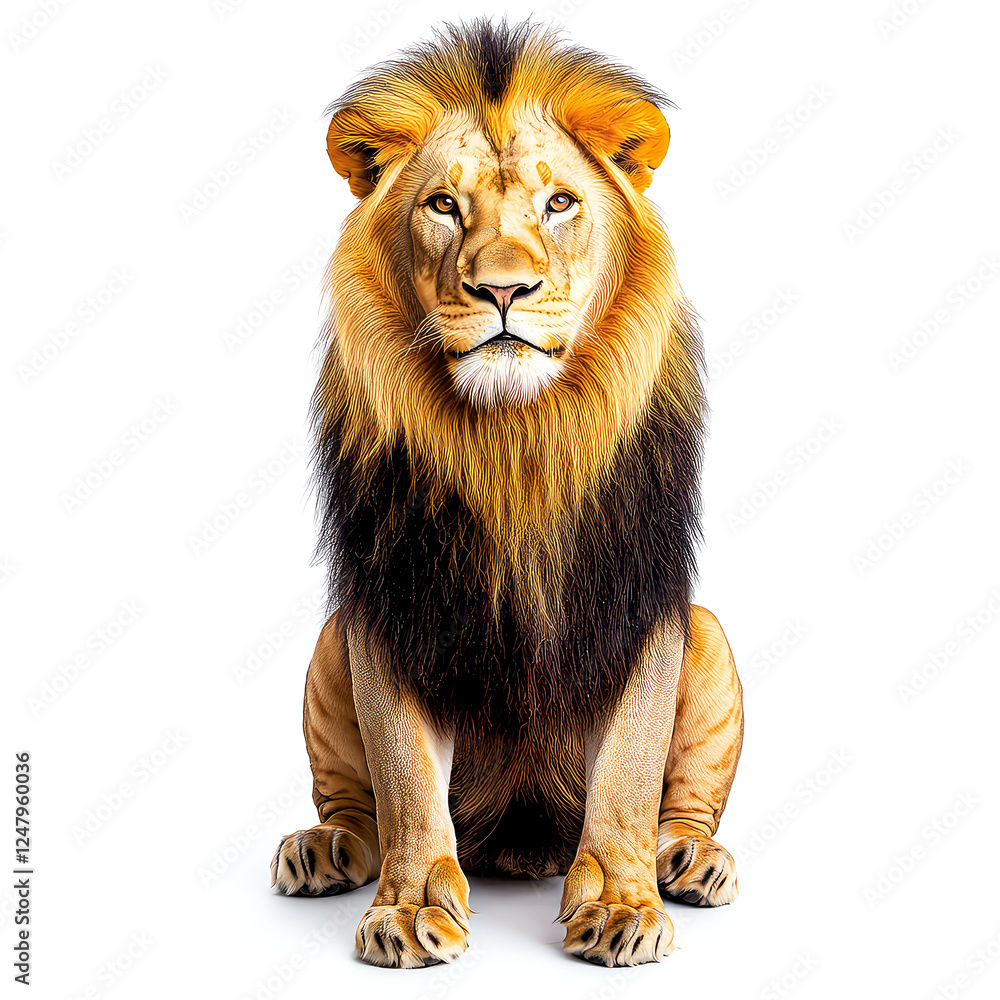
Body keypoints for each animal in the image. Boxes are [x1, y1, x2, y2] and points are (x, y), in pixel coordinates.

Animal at [270, 19, 744, 969]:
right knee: (356, 805)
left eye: (559, 203)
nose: (501, 288)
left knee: (679, 803)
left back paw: (688, 859)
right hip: (334, 636)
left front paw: (623, 905)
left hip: (705, 629)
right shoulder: (395, 598)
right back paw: (325, 846)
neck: (513, 442)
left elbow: (629, 769)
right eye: (442, 206)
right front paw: (412, 905)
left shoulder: (637, 596)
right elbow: (406, 776)